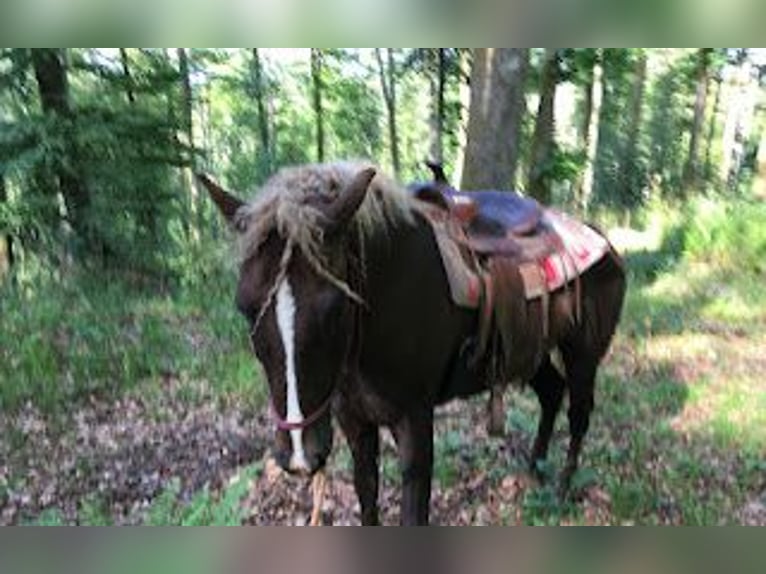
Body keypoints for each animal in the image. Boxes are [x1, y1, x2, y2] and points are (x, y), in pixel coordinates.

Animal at [195, 163, 628, 528]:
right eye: (244, 307)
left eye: (334, 308)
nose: (301, 456)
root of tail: (601, 240)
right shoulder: (354, 421)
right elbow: (367, 496)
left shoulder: (415, 423)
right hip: (528, 350)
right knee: (552, 393)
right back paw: (533, 473)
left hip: (583, 354)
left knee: (578, 413)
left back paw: (562, 488)